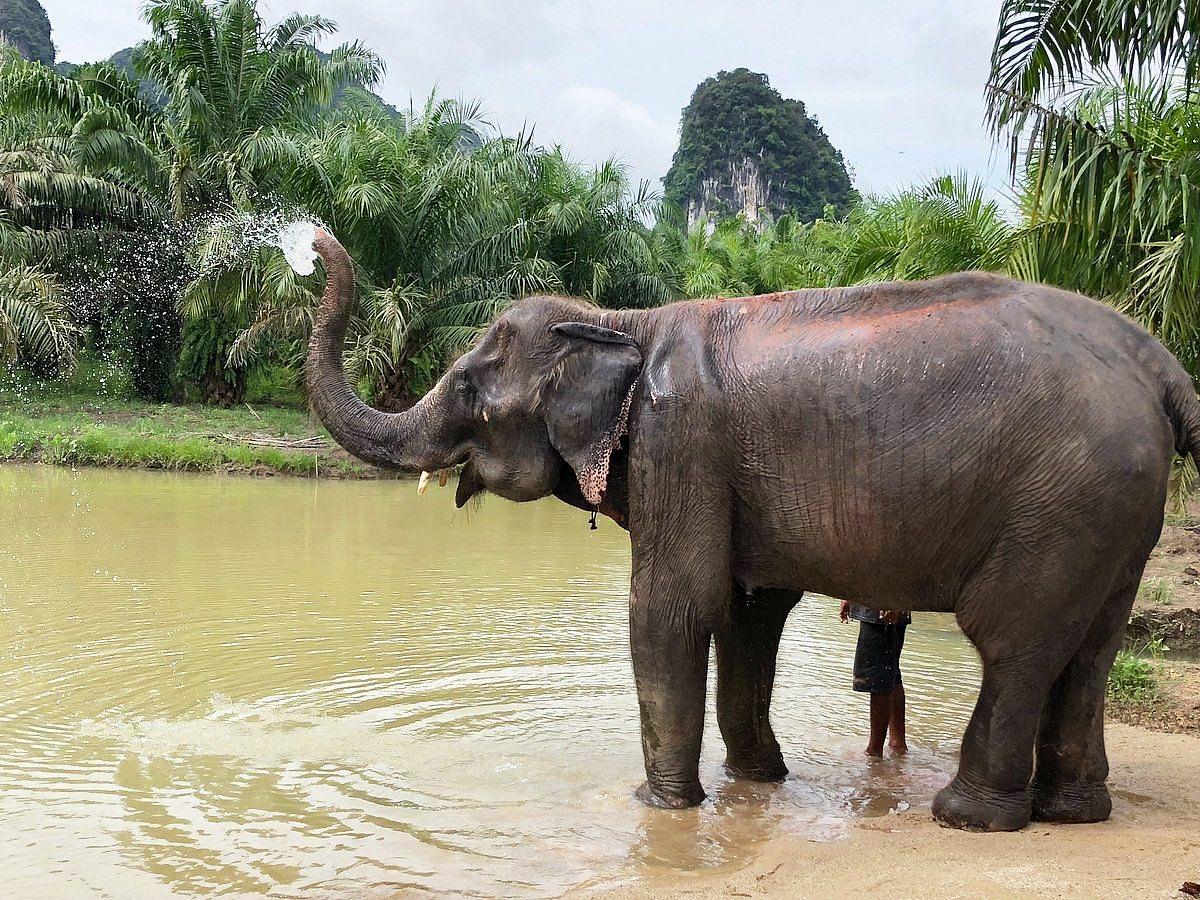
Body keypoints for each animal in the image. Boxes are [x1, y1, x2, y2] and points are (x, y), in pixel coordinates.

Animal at [304, 230, 1200, 830]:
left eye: (466, 385)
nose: (313, 244)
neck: (623, 319)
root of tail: (1159, 363)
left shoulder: (681, 441)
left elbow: (672, 611)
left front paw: (662, 806)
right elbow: (747, 614)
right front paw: (757, 784)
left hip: (1065, 503)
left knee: (1015, 642)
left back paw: (969, 817)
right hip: (1115, 513)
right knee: (1090, 649)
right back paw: (1075, 812)